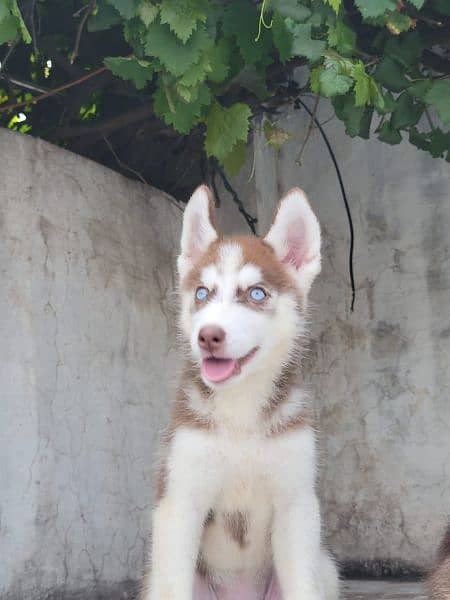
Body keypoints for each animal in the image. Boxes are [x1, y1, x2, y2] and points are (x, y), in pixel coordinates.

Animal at [141, 185, 338, 596]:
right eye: (202, 293)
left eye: (256, 294)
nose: (208, 336)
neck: (241, 411)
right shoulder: (180, 500)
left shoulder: (296, 502)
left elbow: (301, 584)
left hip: (326, 566)